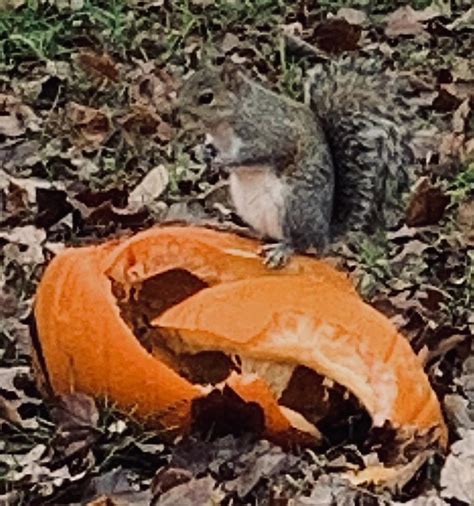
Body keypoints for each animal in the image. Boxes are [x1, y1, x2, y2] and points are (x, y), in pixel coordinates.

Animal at [178, 58, 414, 268]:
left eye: (206, 97)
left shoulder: (272, 134)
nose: (176, 115)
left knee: (300, 243)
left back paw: (283, 249)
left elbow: (258, 153)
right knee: (262, 234)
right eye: (185, 85)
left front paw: (223, 161)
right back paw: (236, 229)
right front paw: (203, 152)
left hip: (294, 205)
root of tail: (323, 235)